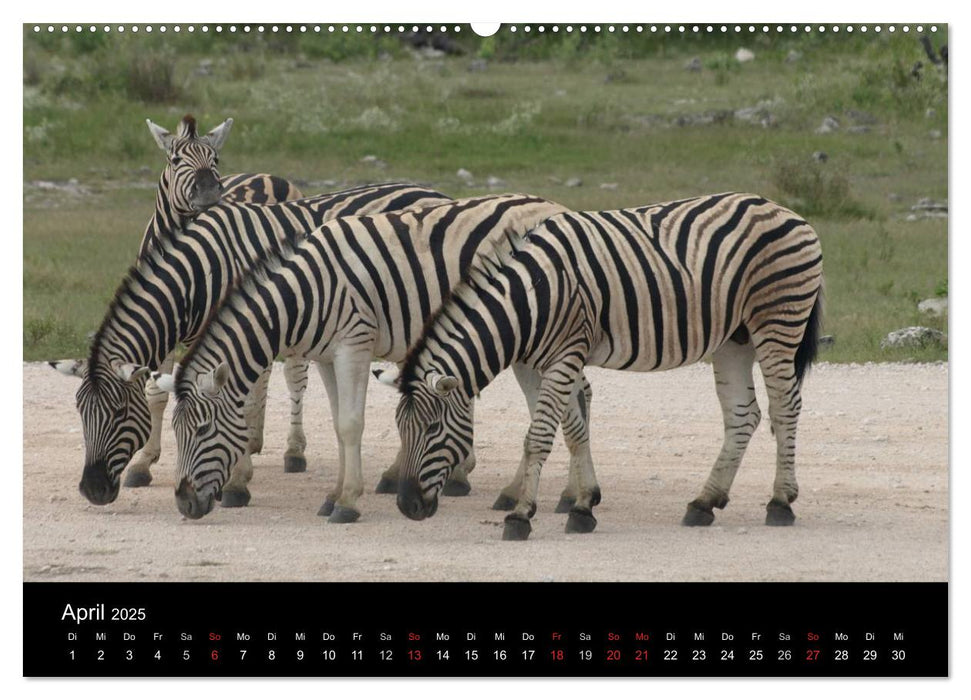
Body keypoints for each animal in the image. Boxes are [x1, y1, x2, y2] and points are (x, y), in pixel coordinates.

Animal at [51, 115, 308, 486]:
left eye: (215, 159)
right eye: (175, 160)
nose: (209, 191)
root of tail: (270, 178)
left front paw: (234, 471)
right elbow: (158, 393)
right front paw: (143, 463)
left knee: (294, 376)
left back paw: (293, 450)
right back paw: (254, 440)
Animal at [61, 180, 452, 512]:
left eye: (118, 413)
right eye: (80, 412)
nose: (92, 490)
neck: (201, 275)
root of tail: (434, 191)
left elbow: (243, 403)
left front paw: (236, 483)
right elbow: (159, 394)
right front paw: (144, 465)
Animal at [157, 194, 600, 524]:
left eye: (201, 431)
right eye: (175, 432)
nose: (183, 503)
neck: (308, 291)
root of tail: (555, 207)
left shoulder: (354, 344)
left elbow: (351, 424)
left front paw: (347, 503)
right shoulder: (326, 356)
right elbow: (338, 423)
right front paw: (334, 494)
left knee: (571, 401)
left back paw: (572, 496)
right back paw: (541, 494)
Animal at [392, 191, 824, 540]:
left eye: (432, 429)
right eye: (400, 429)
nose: (406, 506)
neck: (531, 297)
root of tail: (785, 210)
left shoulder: (565, 355)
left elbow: (539, 438)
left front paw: (521, 516)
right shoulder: (556, 359)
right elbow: (575, 432)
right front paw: (583, 506)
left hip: (778, 320)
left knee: (785, 408)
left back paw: (780, 502)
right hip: (735, 338)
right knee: (743, 415)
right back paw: (704, 502)